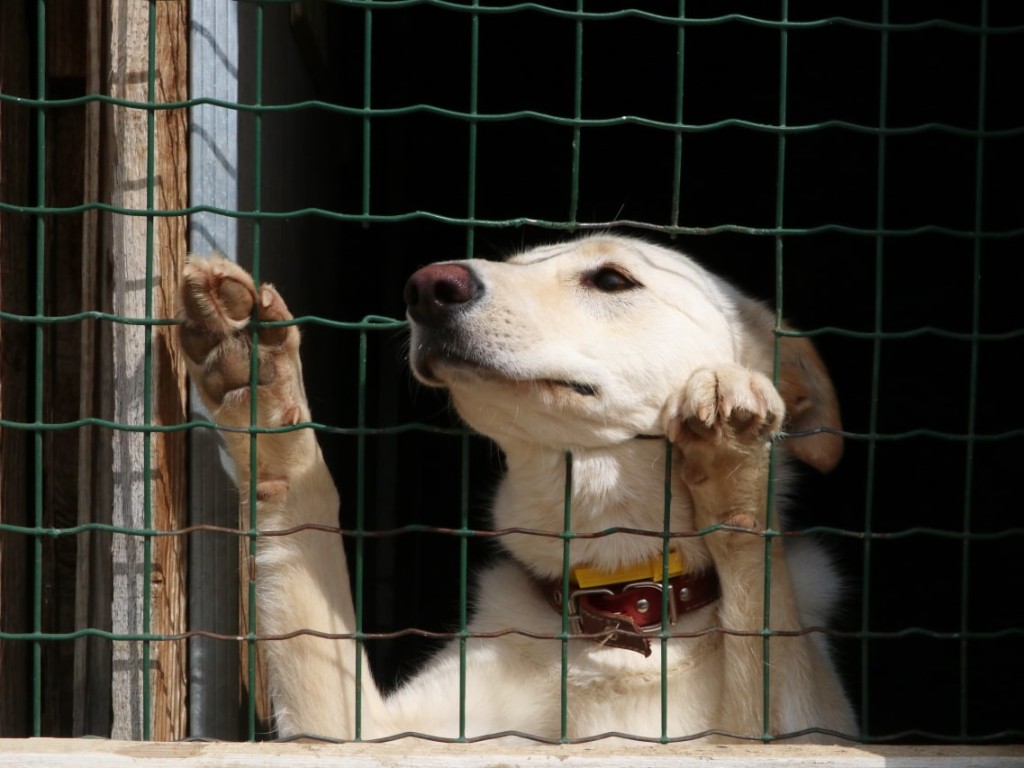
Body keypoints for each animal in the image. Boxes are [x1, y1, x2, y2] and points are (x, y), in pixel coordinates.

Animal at [182, 236, 856, 745]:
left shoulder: (798, 730)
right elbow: (308, 524)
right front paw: (259, 383)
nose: (428, 287)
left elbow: (764, 617)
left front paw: (734, 463)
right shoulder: (366, 735)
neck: (616, 607)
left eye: (611, 280)